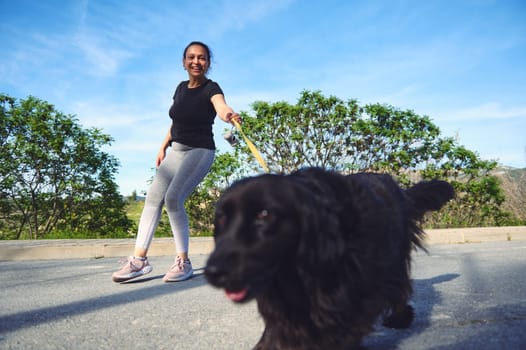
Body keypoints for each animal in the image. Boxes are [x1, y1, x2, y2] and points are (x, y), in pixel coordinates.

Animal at [204, 168, 456, 348]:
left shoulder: (354, 298)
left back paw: (400, 318)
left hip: (391, 260)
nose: (213, 272)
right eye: (222, 218)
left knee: (400, 287)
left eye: (264, 214)